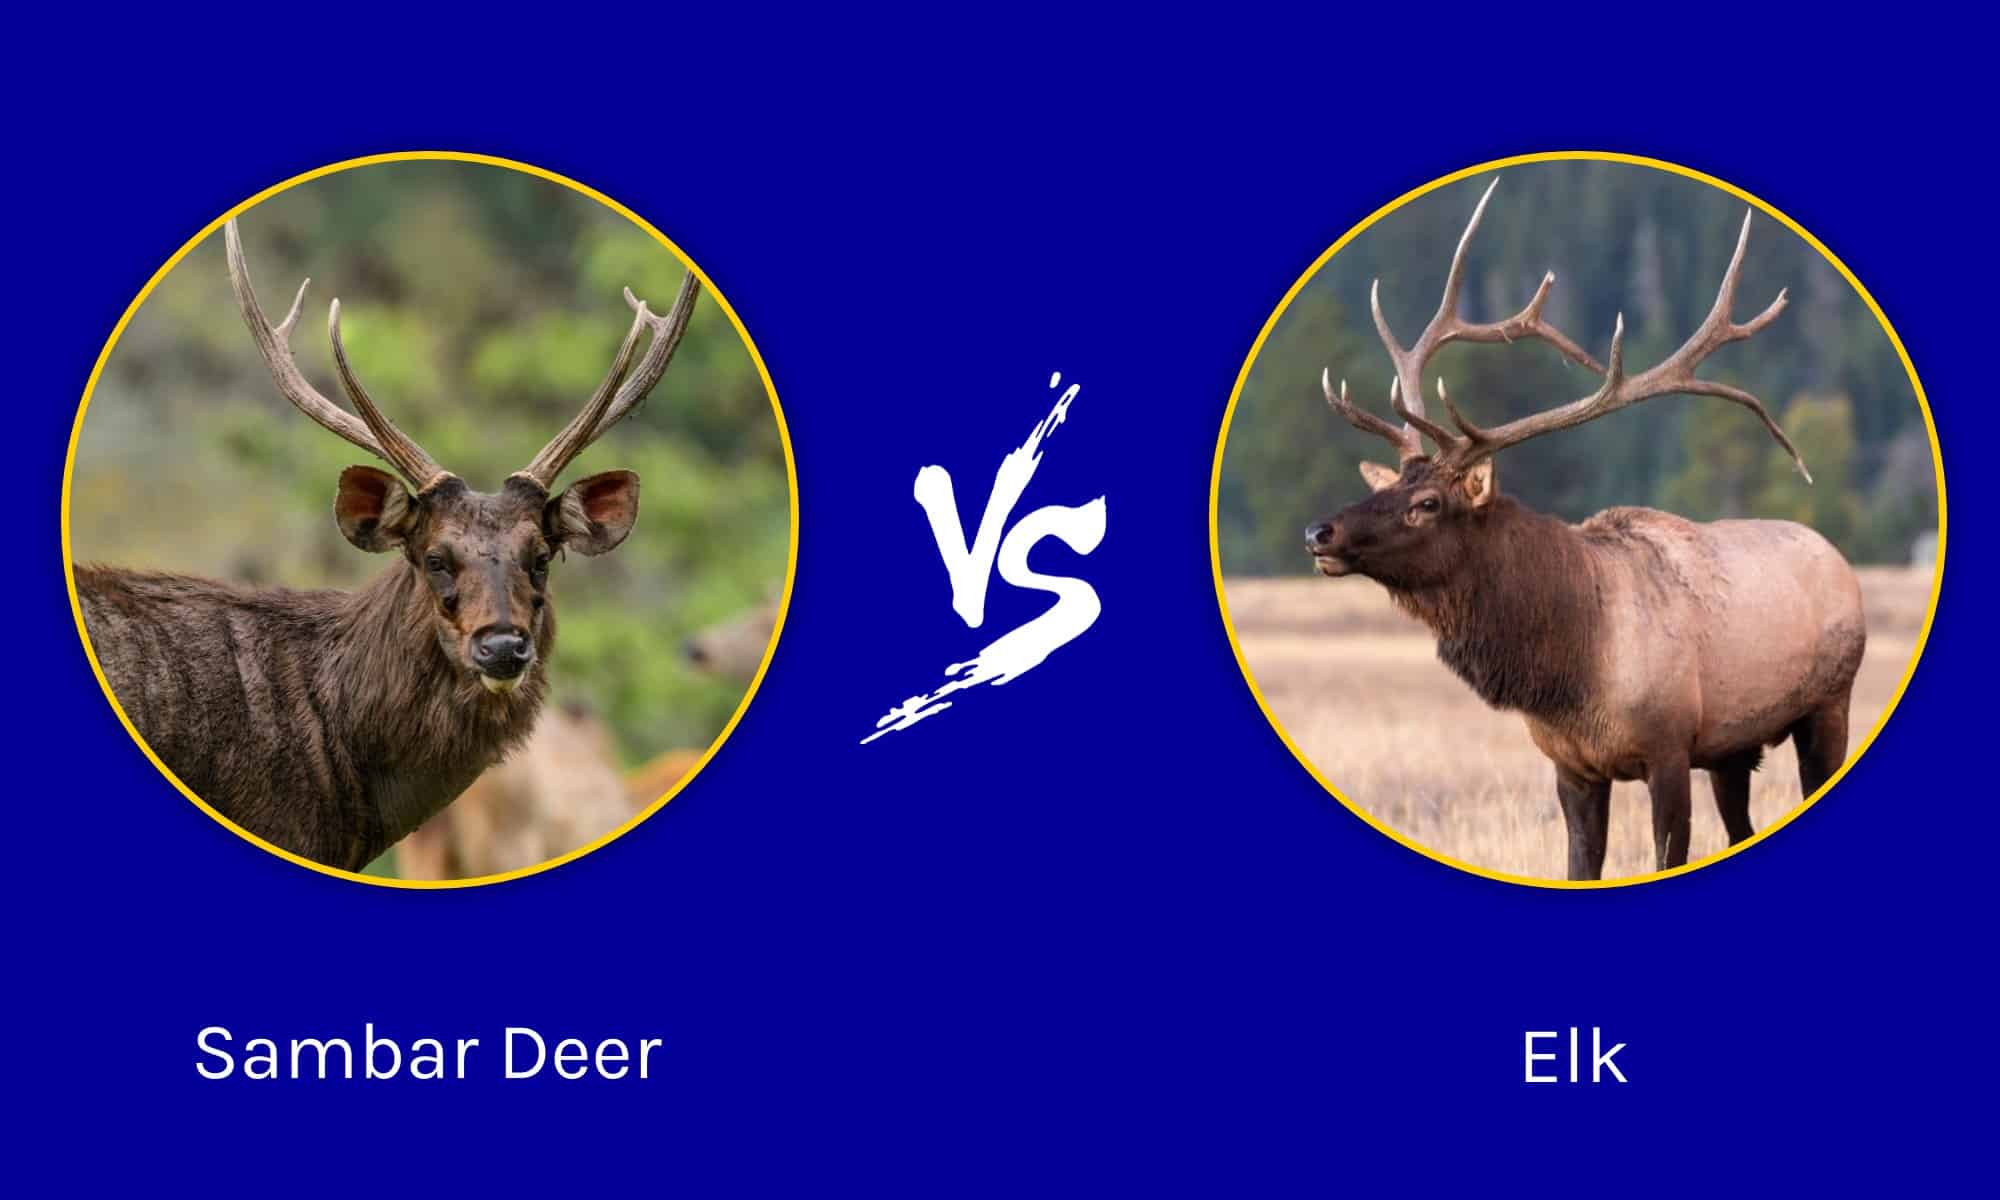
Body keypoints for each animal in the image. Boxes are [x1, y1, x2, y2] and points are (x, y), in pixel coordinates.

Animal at [1303, 181, 1865, 881]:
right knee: (1742, 826)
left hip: (1828, 704)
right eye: (1386, 488)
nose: (1319, 532)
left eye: (1427, 503)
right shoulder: (1572, 766)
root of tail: (1839, 560)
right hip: (1735, 749)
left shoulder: (1669, 747)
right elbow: (1578, 865)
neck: (1570, 671)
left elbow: (1666, 851)